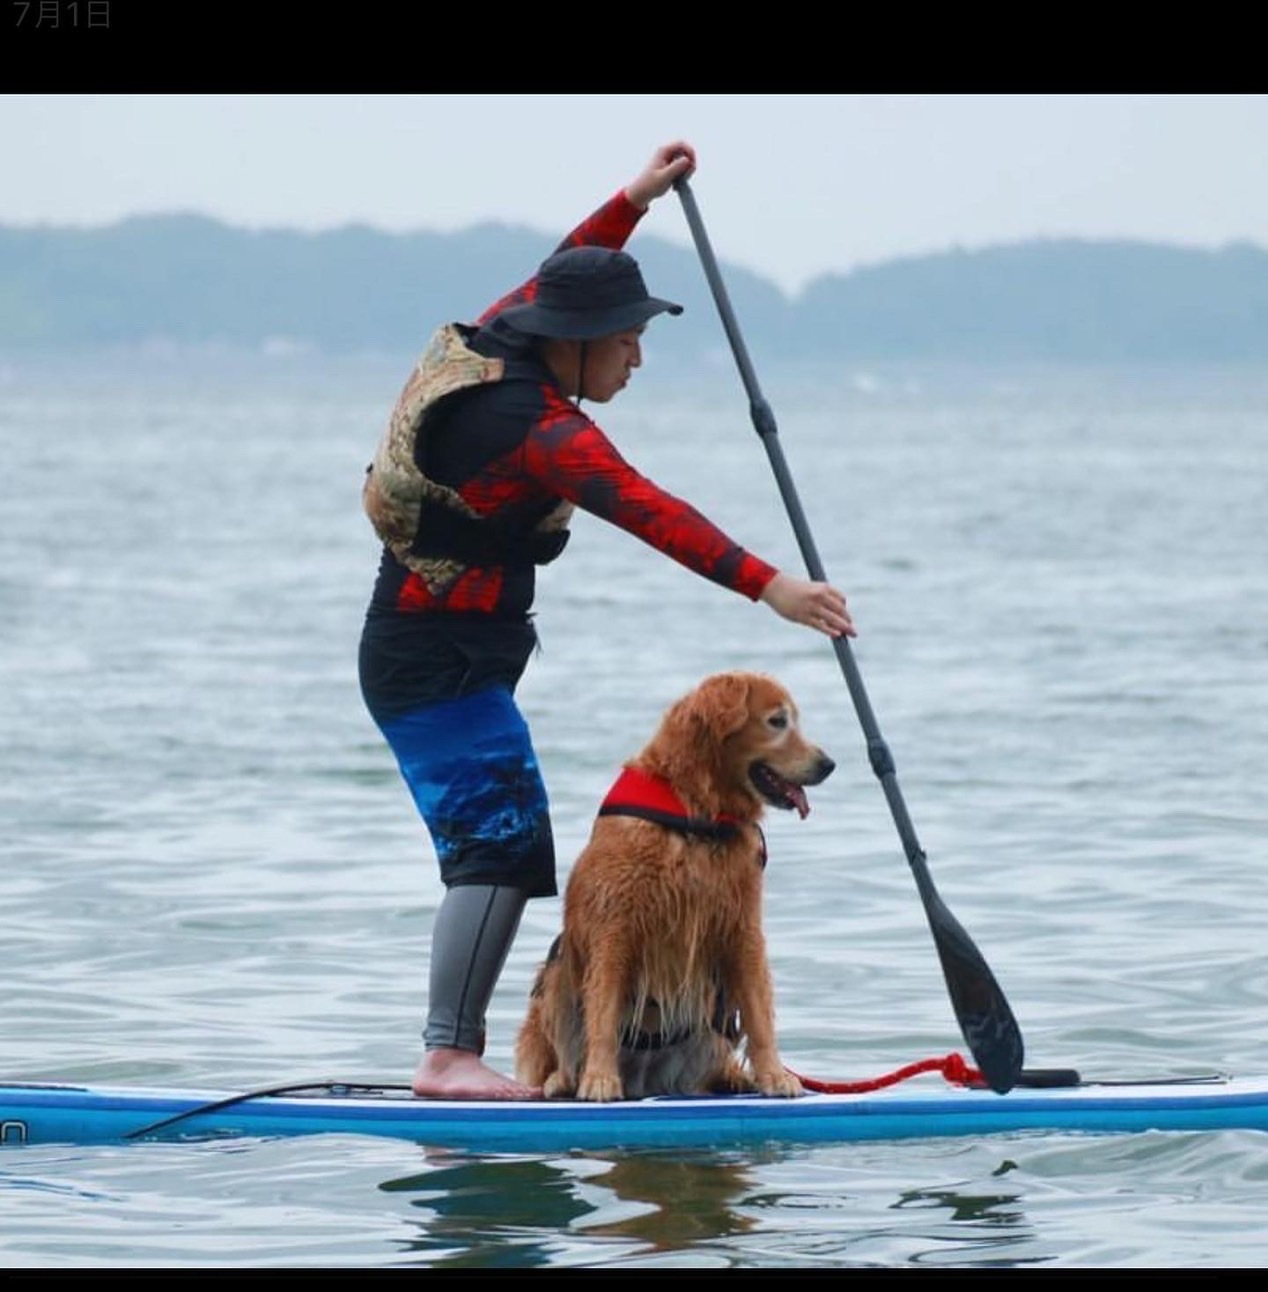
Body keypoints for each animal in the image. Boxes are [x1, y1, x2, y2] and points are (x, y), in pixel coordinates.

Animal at [511, 671, 832, 1105]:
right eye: (777, 721)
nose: (828, 764)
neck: (697, 813)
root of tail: (646, 1082)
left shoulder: (742, 925)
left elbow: (759, 1013)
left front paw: (774, 1075)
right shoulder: (614, 928)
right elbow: (604, 1011)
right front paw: (599, 1078)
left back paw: (734, 1078)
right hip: (556, 974)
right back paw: (561, 1080)